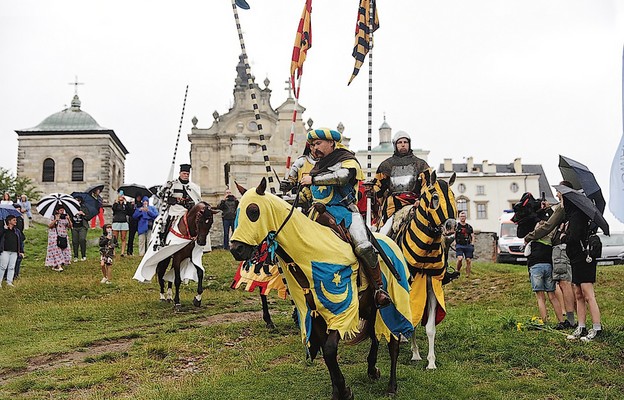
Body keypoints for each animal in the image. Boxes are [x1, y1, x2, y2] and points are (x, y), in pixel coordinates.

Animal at [229, 179, 414, 400]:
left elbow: (330, 350)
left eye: (253, 211)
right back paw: (371, 369)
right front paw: (338, 391)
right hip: (370, 307)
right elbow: (327, 356)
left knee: (393, 341)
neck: (311, 251)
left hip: (393, 303)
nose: (236, 249)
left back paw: (392, 386)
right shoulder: (315, 316)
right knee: (373, 334)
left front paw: (344, 391)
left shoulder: (342, 312)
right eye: (238, 211)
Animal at [386, 169, 458, 368]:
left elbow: (430, 327)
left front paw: (431, 362)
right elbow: (411, 318)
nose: (452, 226)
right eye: (435, 197)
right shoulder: (409, 286)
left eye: (453, 196)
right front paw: (416, 354)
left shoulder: (431, 287)